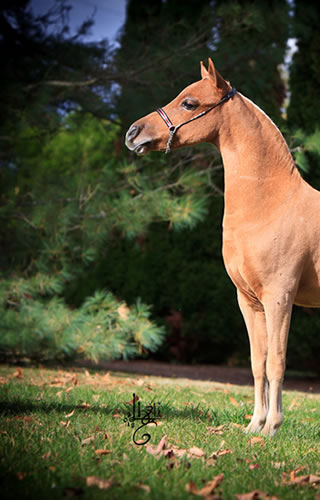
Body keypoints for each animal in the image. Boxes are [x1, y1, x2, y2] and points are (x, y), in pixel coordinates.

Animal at [125, 57, 320, 434]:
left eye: (189, 103)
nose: (133, 133)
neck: (270, 204)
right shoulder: (249, 301)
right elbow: (257, 362)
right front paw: (255, 425)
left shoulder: (279, 298)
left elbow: (276, 361)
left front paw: (272, 428)